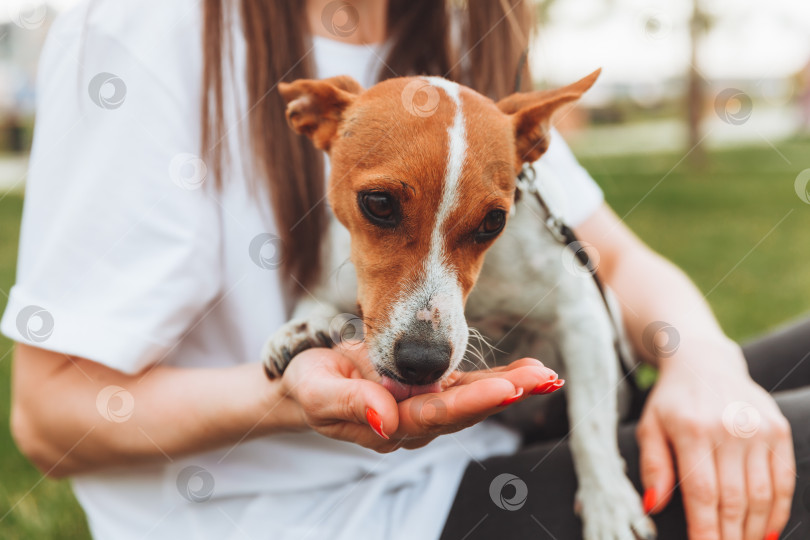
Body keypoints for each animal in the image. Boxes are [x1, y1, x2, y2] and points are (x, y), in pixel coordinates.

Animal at [262, 71, 652, 540]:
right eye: (378, 203)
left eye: (493, 221)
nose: (422, 362)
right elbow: (314, 303)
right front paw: (302, 327)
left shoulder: (582, 317)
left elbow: (590, 424)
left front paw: (608, 503)